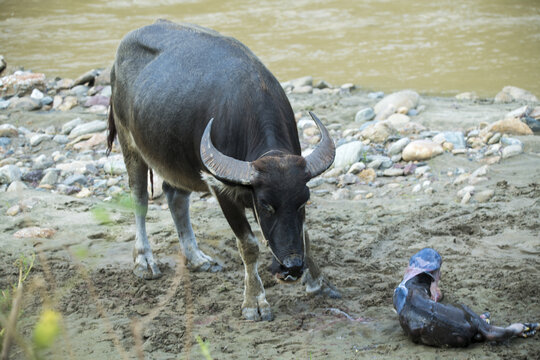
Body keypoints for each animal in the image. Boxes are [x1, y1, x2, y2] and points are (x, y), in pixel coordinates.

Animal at [107, 19, 340, 320]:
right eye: (265, 205)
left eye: (304, 202)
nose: (292, 267)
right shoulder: (221, 190)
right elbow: (248, 245)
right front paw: (255, 302)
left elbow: (306, 235)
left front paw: (319, 283)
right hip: (129, 142)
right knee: (139, 199)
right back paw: (144, 261)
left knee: (175, 196)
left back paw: (197, 258)